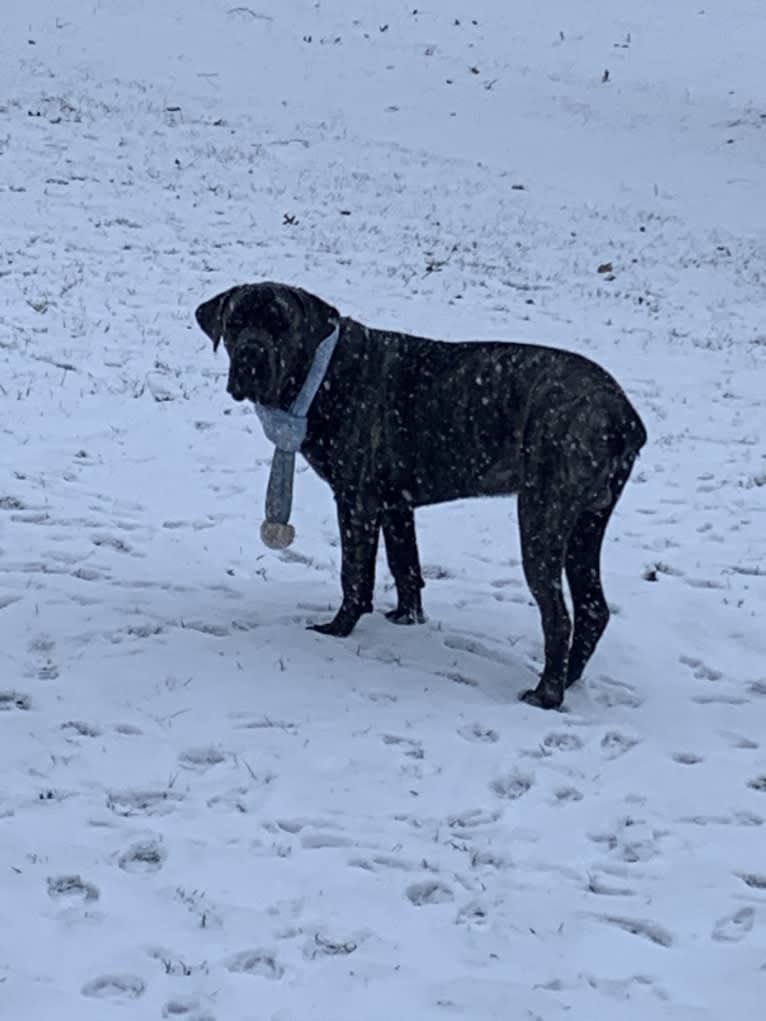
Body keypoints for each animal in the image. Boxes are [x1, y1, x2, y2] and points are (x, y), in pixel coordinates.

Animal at [195, 279, 645, 710]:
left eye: (280, 325)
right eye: (234, 324)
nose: (252, 355)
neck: (321, 373)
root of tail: (622, 414)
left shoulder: (356, 501)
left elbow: (355, 574)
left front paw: (339, 627)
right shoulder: (397, 504)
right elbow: (405, 565)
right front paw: (406, 618)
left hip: (541, 517)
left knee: (558, 615)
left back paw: (547, 694)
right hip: (587, 524)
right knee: (592, 608)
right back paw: (568, 677)